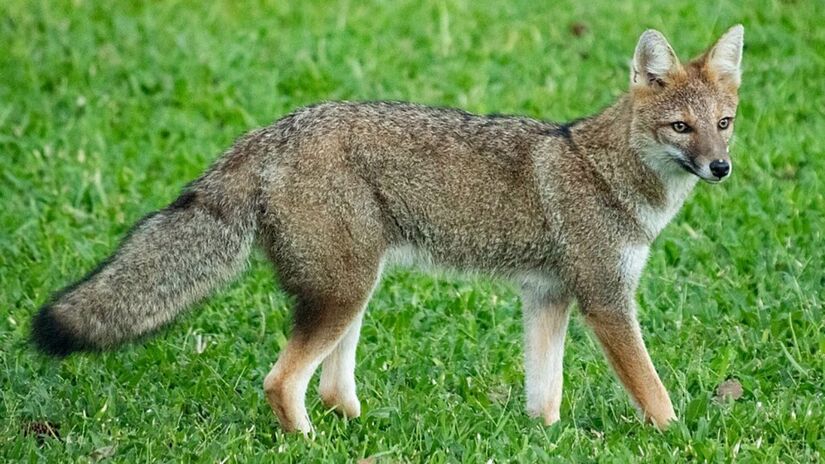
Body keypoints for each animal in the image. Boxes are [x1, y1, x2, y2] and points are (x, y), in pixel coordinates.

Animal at [31, 25, 744, 434]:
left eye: (724, 123)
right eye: (681, 127)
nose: (721, 167)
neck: (606, 171)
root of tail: (273, 130)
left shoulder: (547, 297)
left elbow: (545, 395)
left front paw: (543, 439)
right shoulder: (606, 299)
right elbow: (651, 389)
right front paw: (677, 439)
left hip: (355, 289)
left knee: (326, 384)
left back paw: (357, 426)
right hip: (345, 290)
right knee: (282, 382)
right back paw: (310, 444)